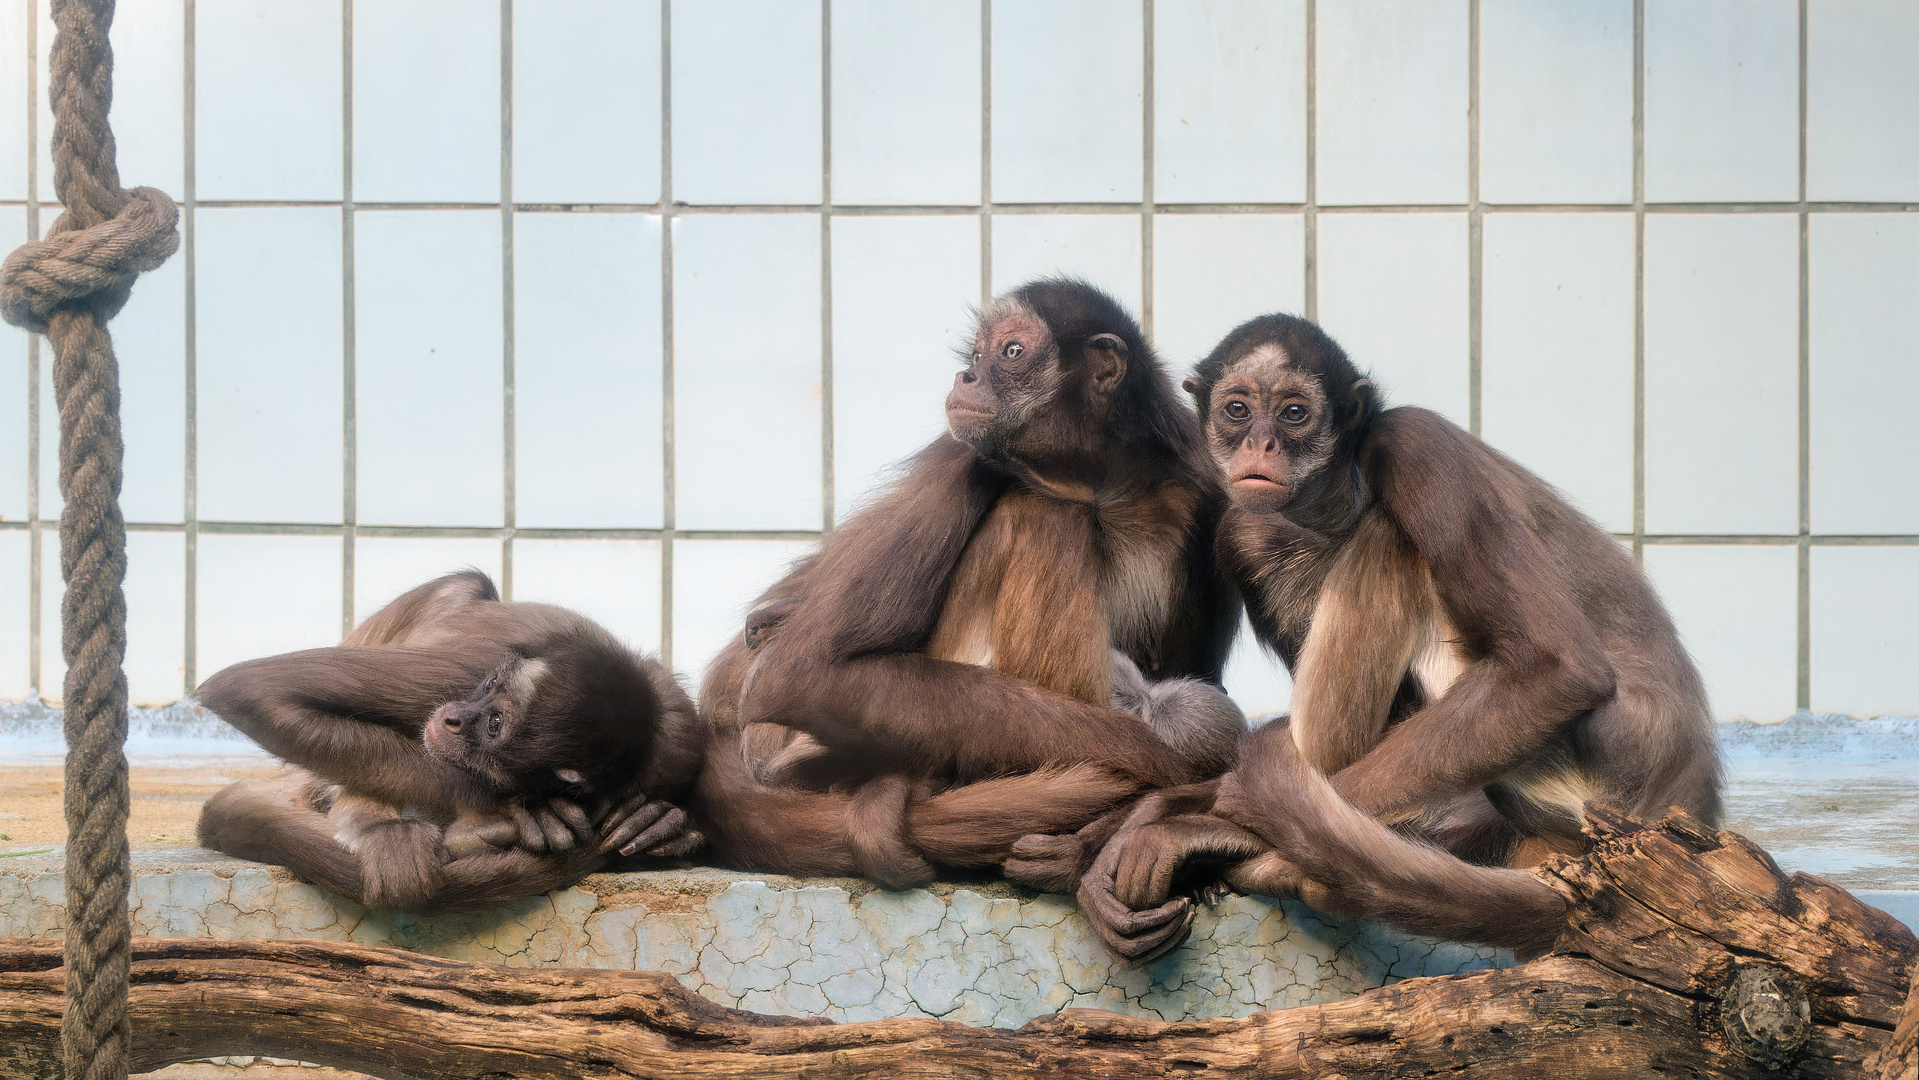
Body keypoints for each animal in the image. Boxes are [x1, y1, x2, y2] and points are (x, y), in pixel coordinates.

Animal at [194, 571, 710, 916]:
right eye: (490, 684)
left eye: (496, 723)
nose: (454, 718)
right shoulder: (471, 663)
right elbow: (251, 689)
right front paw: (504, 812)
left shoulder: (676, 741)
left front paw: (660, 822)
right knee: (468, 583)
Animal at [690, 276, 1243, 886]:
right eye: (977, 355)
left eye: (1011, 352)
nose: (967, 376)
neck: (1099, 486)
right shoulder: (963, 452)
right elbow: (802, 675)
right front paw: (1169, 766)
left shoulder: (1212, 494)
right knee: (1043, 509)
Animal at [1051, 314, 1727, 962]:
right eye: (1237, 410)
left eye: (1294, 413)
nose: (1261, 443)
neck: (1339, 503)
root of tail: (1688, 798)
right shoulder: (1238, 529)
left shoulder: (1416, 448)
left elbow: (1558, 670)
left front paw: (1210, 823)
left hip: (1604, 768)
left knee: (1389, 540)